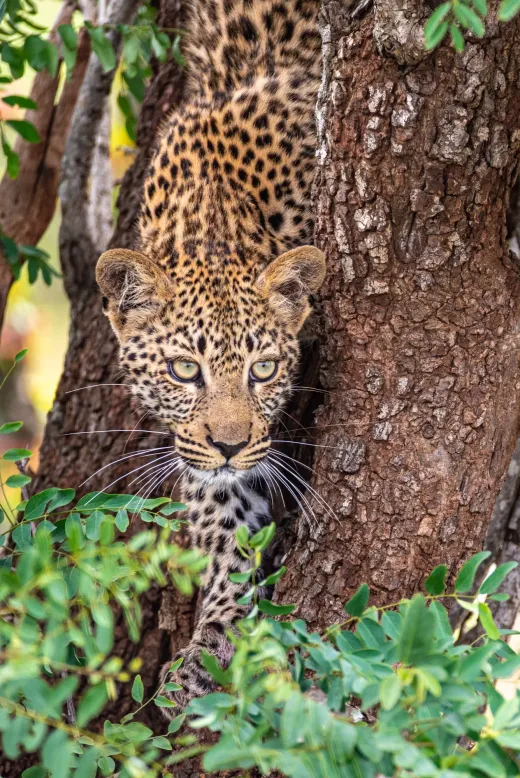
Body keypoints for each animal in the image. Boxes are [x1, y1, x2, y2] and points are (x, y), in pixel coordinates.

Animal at [96, 0, 325, 707]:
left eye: (264, 370)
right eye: (183, 370)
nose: (228, 444)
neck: (218, 222)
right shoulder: (204, 455)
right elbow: (225, 522)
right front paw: (215, 638)